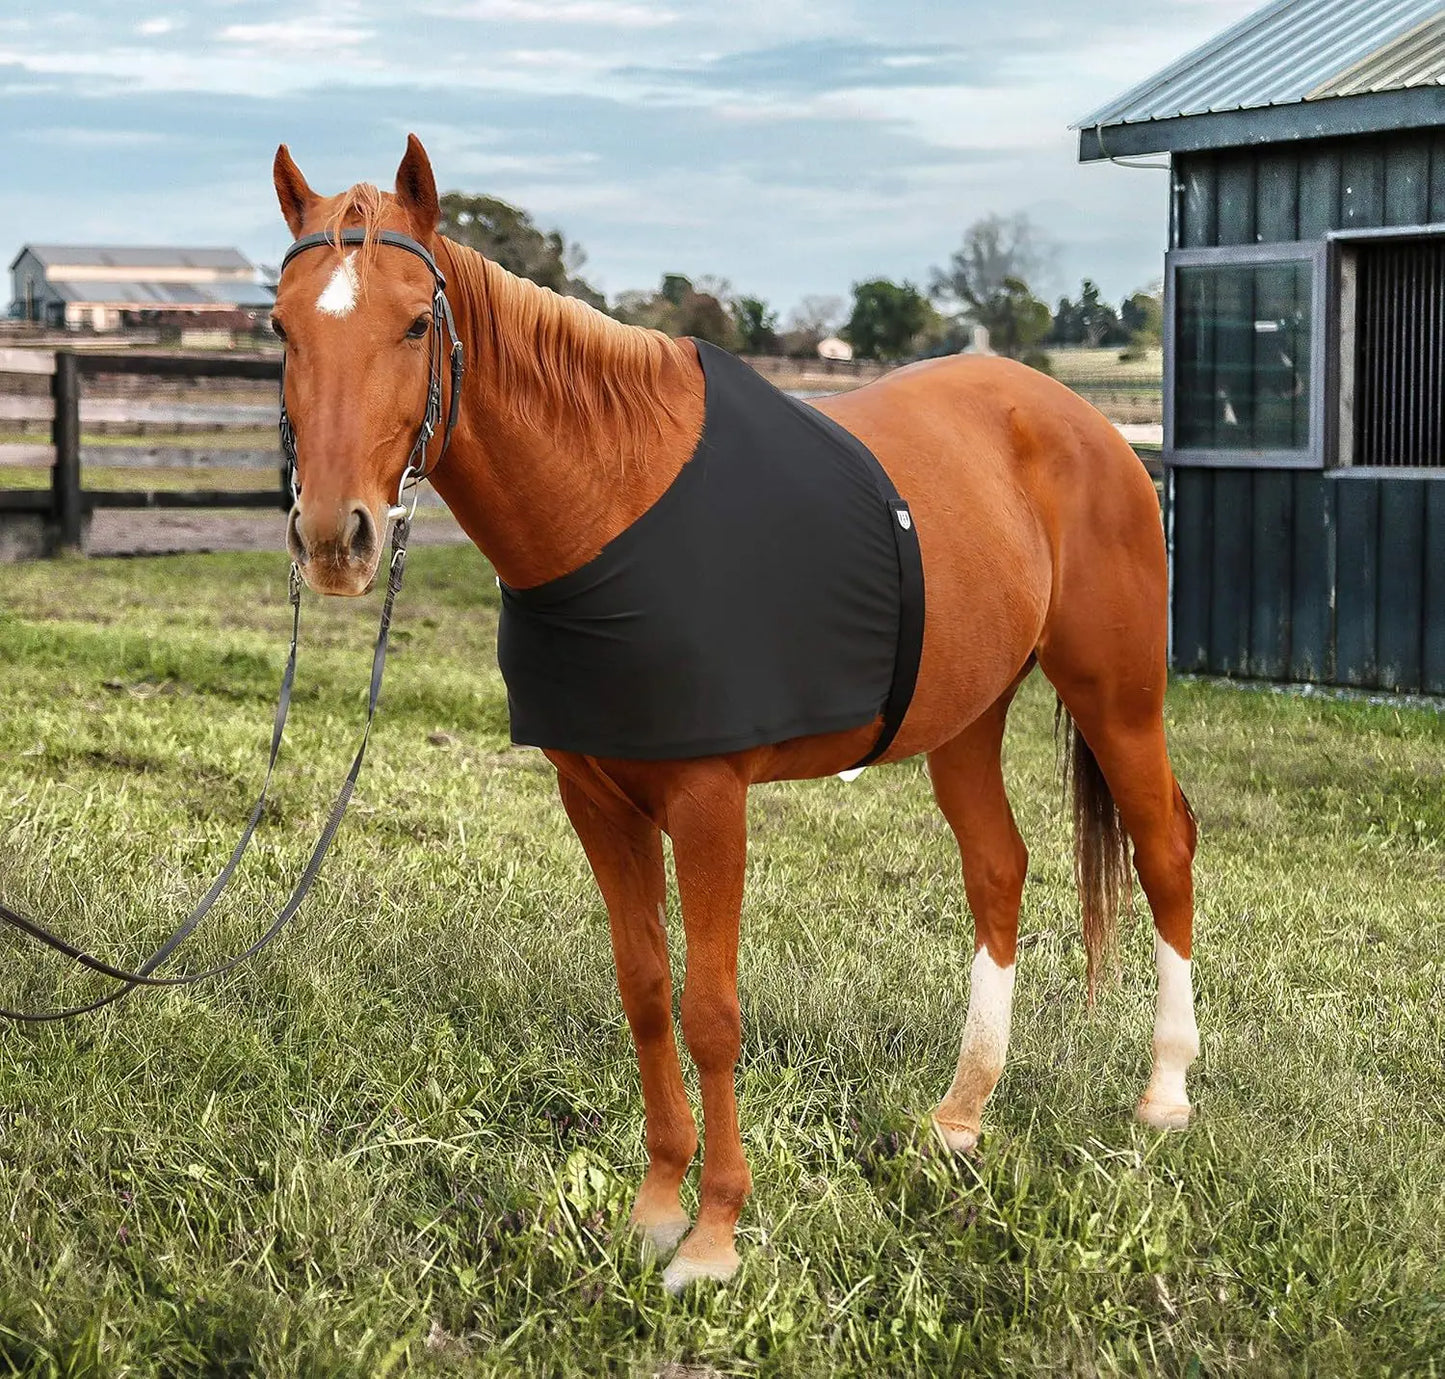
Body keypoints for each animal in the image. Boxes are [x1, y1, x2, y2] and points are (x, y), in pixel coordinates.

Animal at [270, 135, 1199, 1293]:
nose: (333, 538)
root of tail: (1086, 424)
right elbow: (644, 990)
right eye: (281, 326)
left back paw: (1163, 1092)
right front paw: (654, 1207)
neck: (613, 504)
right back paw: (959, 1114)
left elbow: (711, 1012)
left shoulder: (711, 803)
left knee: (1164, 847)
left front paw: (712, 1237)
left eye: (411, 323)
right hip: (965, 719)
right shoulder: (596, 800)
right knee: (998, 868)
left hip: (1116, 696)